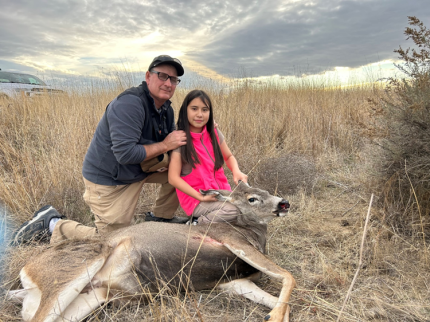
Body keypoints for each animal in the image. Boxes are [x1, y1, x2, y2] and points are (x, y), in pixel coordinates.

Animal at [7, 184, 296, 322]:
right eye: (252, 199)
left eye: (267, 191)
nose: (284, 203)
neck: (253, 233)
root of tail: (27, 274)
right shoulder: (232, 240)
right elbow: (288, 275)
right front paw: (272, 317)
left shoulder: (232, 281)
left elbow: (280, 301)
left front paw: (273, 315)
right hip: (83, 262)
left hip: (91, 297)